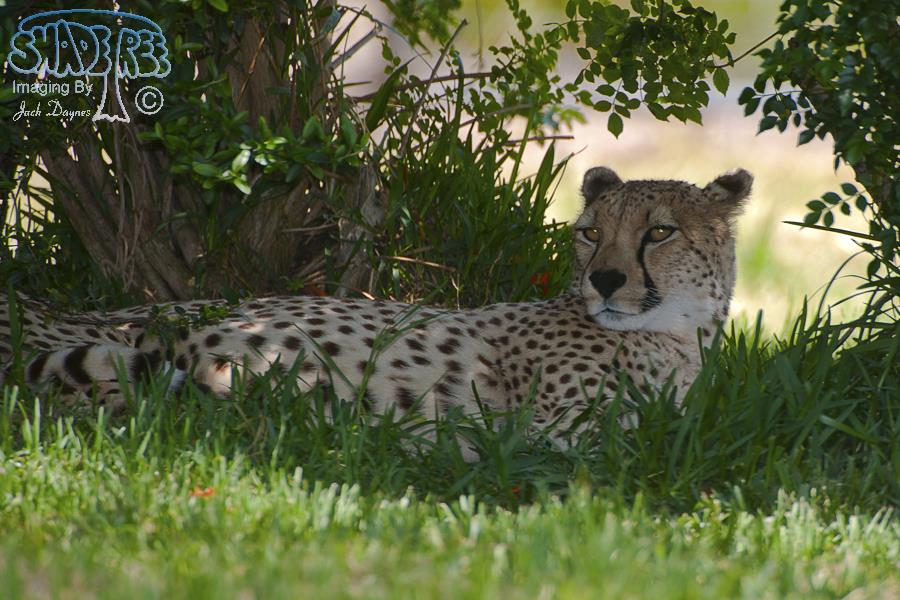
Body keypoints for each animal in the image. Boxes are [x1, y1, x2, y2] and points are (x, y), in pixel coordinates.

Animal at [0, 167, 752, 454]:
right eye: (592, 232)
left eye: (660, 232)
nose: (604, 280)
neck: (677, 333)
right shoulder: (559, 426)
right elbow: (627, 432)